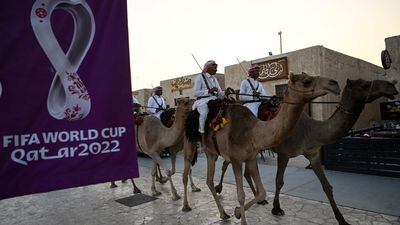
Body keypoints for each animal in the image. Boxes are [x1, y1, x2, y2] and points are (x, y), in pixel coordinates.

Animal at [183, 73, 340, 224]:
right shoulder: (236, 159)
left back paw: (224, 213)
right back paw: (186, 205)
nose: (334, 84)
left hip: (212, 153)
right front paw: (244, 218)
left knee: (209, 180)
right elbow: (241, 195)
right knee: (188, 172)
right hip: (192, 143)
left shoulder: (251, 157)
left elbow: (262, 192)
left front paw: (237, 212)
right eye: (306, 81)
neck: (252, 132)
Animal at [214, 78, 398, 224]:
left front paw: (342, 220)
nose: (392, 86)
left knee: (242, 171)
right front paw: (276, 208)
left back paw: (258, 200)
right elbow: (279, 181)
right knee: (226, 164)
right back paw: (219, 189)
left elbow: (327, 186)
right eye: (365, 84)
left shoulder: (313, 154)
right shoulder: (284, 153)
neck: (310, 130)